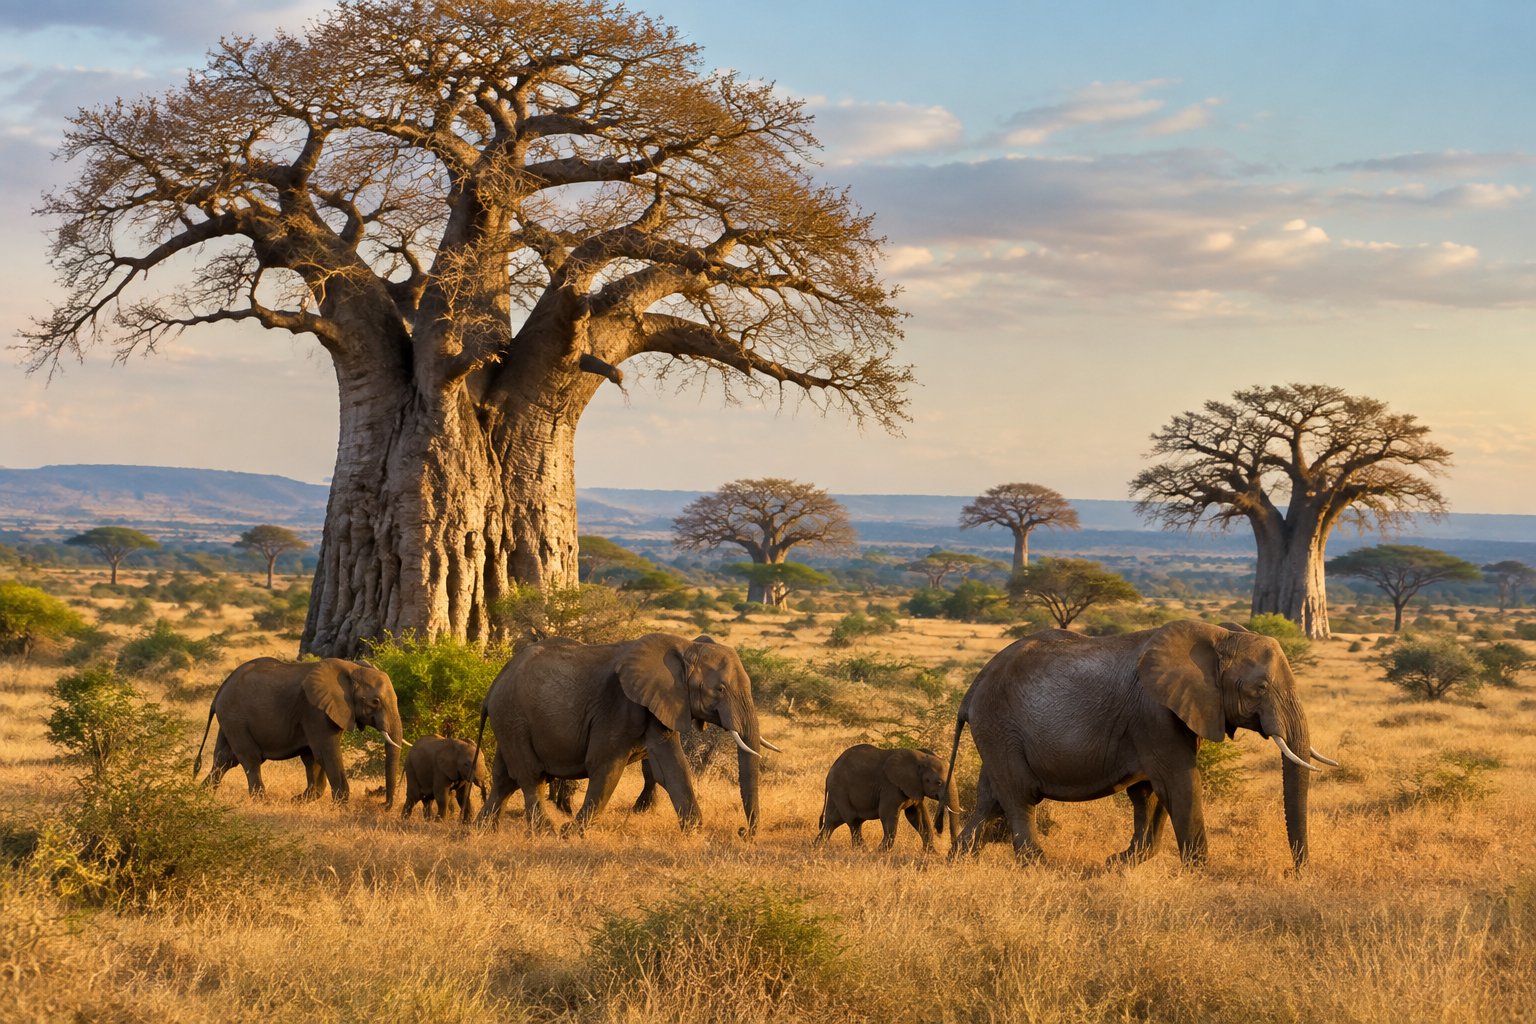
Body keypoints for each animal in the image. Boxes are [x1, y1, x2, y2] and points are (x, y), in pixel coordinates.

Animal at [195, 657, 403, 807]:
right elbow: (326, 753)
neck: (351, 668)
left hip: (229, 720)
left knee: (225, 758)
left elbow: (312, 758)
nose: (383, 805)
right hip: (235, 717)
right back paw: (263, 802)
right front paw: (342, 807)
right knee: (250, 758)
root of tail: (220, 690)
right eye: (375, 702)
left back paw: (201, 794)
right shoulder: (316, 711)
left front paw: (298, 800)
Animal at [474, 633, 766, 836]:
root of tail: (492, 687)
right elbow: (606, 767)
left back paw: (479, 832)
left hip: (508, 722)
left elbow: (672, 768)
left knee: (504, 779)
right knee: (530, 776)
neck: (685, 646)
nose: (743, 833)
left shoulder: (659, 705)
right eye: (719, 690)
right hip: (513, 717)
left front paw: (694, 831)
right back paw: (545, 832)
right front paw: (572, 834)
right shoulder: (617, 705)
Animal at [815, 744, 959, 852]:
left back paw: (817, 846)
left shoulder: (914, 787)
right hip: (840, 790)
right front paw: (881, 852)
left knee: (832, 821)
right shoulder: (890, 786)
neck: (920, 758)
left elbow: (917, 815)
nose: (951, 846)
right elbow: (887, 814)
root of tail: (829, 773)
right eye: (938, 782)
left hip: (836, 793)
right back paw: (863, 851)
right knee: (853, 820)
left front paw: (931, 853)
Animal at [945, 621, 1337, 869]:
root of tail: (973, 687)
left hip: (996, 732)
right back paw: (1037, 864)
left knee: (990, 798)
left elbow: (1150, 794)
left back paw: (959, 860)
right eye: (1260, 689)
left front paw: (1125, 860)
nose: (1293, 872)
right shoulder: (1155, 713)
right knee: (1019, 797)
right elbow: (1179, 783)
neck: (1222, 637)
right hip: (1000, 726)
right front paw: (1200, 872)